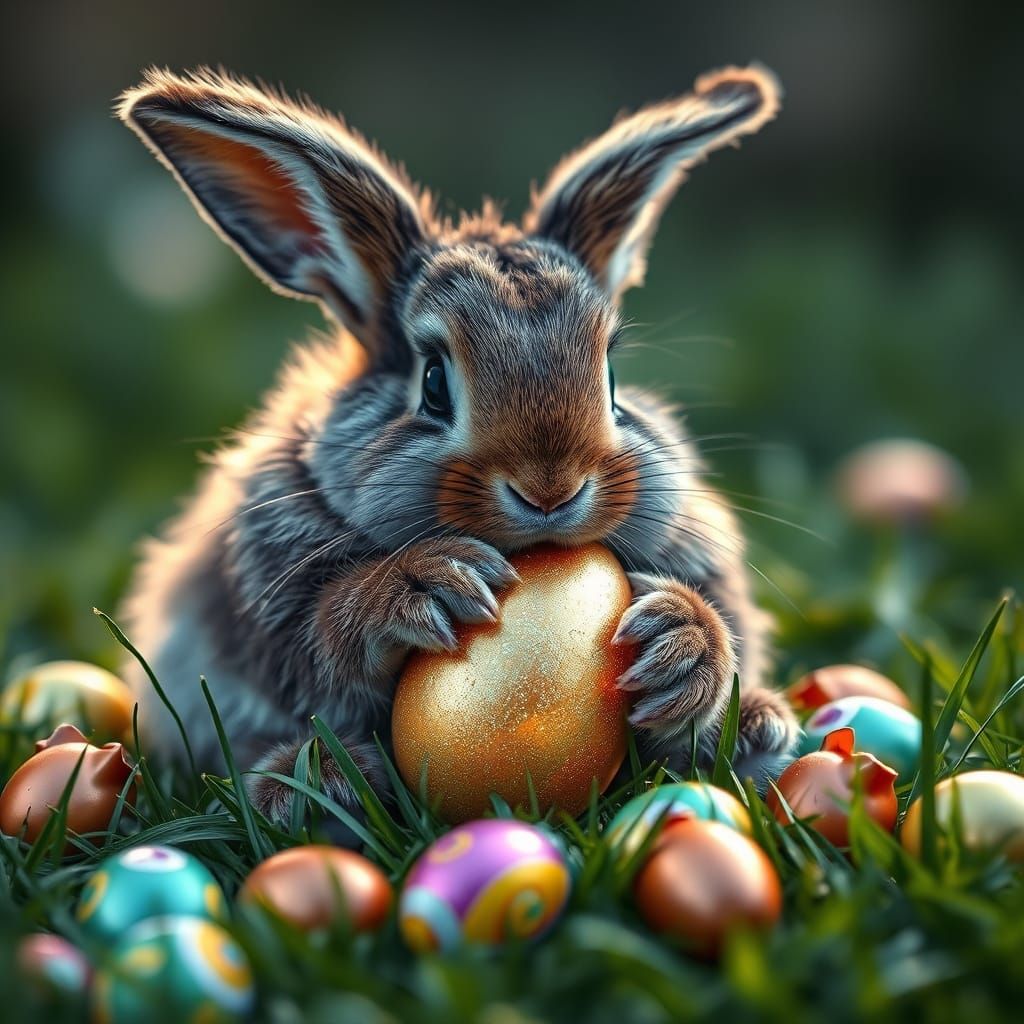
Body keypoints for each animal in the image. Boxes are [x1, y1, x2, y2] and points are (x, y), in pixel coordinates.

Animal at [116, 64, 798, 825]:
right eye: (434, 382)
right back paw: (314, 785)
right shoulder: (264, 592)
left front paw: (684, 642)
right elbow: (316, 641)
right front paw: (422, 587)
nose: (550, 488)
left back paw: (755, 730)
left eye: (612, 376)